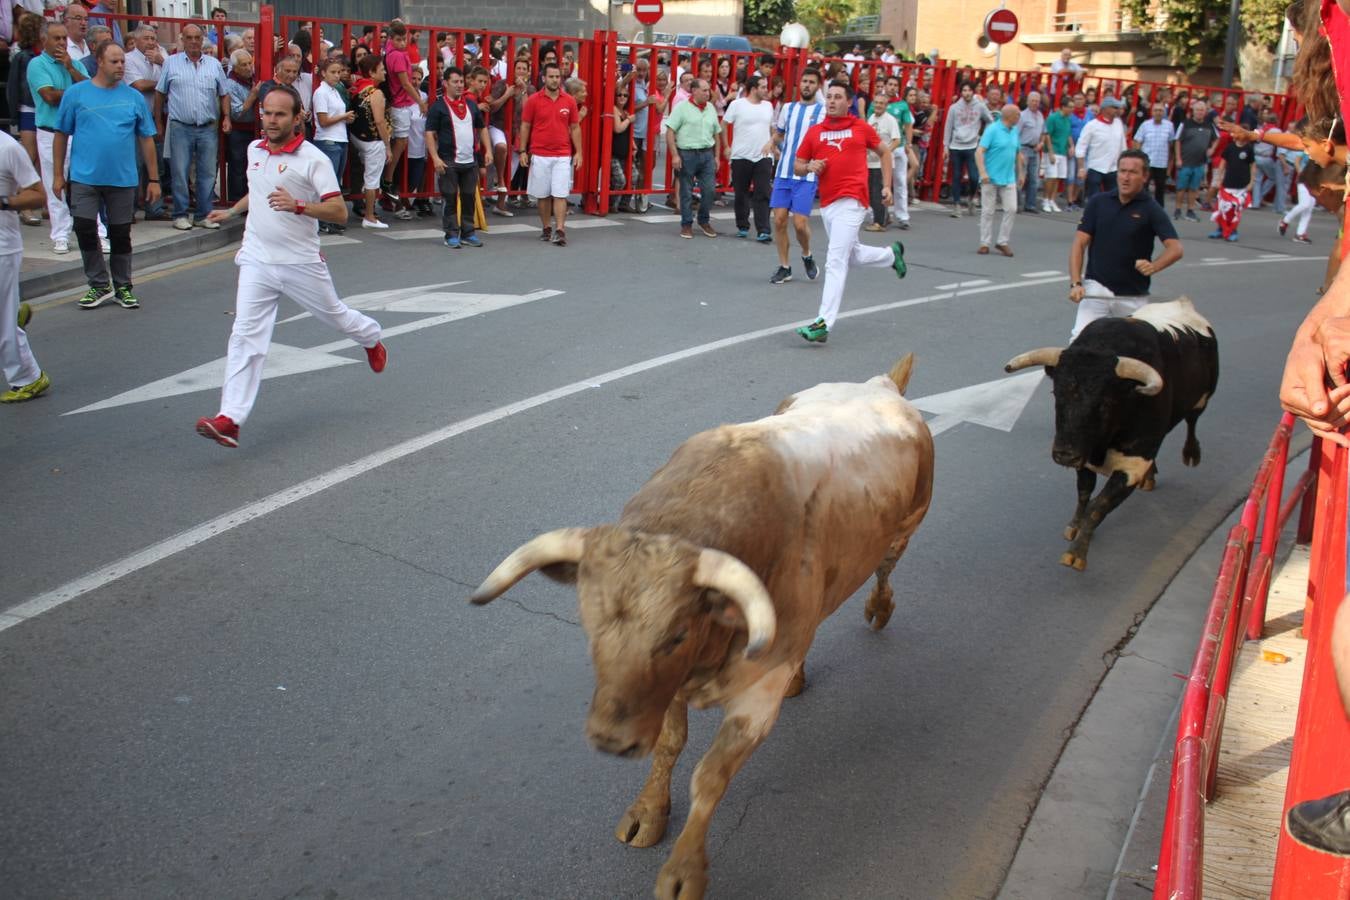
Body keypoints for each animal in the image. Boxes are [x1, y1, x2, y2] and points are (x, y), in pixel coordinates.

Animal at [469, 356, 934, 895]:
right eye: (589, 625)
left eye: (677, 633)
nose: (610, 740)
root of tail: (881, 385)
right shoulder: (669, 687)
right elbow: (670, 744)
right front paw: (648, 812)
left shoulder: (755, 696)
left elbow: (710, 776)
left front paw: (683, 871)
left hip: (906, 528)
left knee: (884, 571)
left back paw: (879, 609)